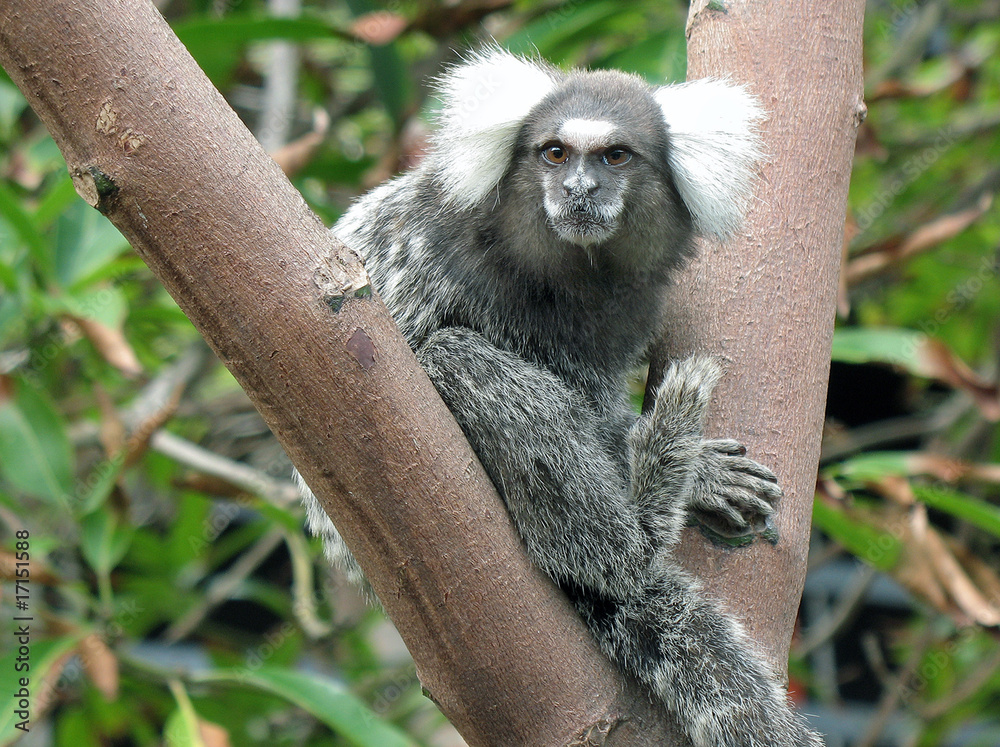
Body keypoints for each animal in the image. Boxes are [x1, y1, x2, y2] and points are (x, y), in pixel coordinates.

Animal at [298, 48, 824, 746]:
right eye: (555, 154)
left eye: (614, 157)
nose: (578, 189)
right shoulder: (435, 253)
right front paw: (699, 474)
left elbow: (597, 396)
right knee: (453, 361)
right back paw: (631, 536)